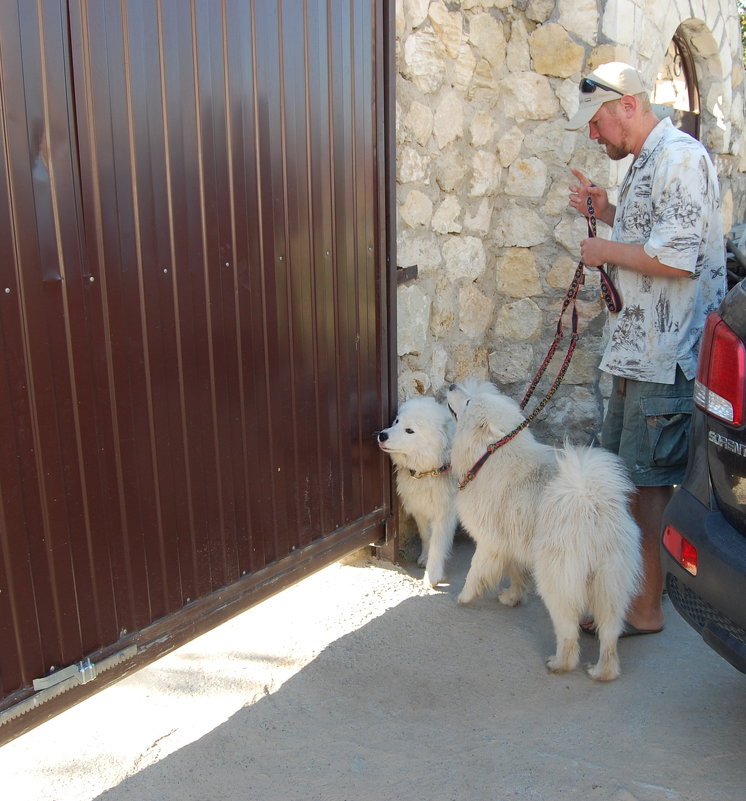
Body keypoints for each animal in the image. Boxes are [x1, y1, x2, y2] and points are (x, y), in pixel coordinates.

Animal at [444, 382, 644, 680]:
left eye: (468, 402)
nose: (452, 385)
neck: (490, 454)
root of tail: (590, 503)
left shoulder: (490, 542)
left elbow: (475, 571)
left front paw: (464, 597)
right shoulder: (513, 543)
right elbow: (516, 574)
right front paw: (512, 598)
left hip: (557, 578)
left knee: (568, 632)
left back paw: (559, 663)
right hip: (609, 584)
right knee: (609, 635)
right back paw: (601, 672)